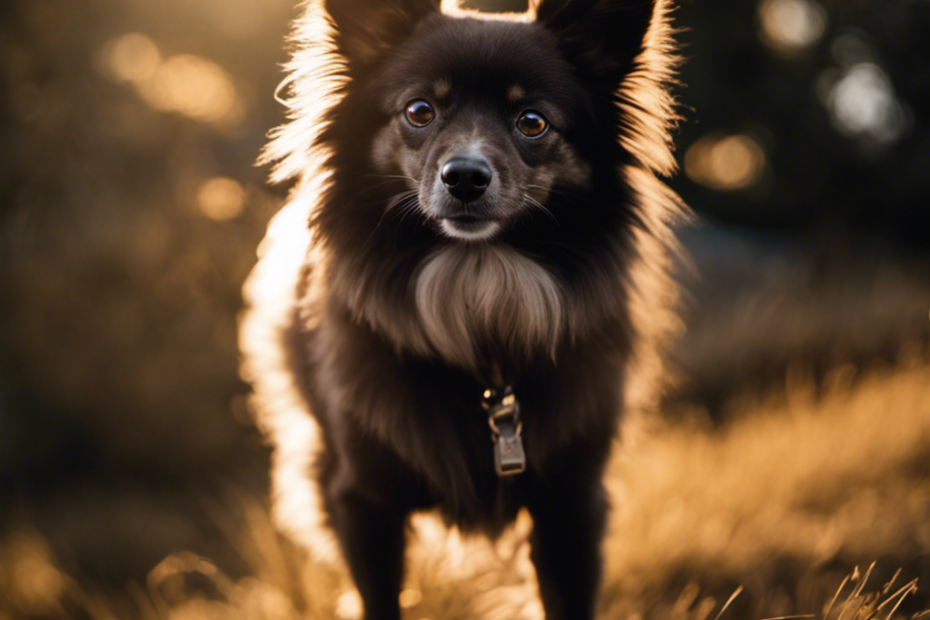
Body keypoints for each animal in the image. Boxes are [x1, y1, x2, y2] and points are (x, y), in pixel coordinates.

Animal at [243, 1, 684, 620]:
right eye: (419, 111)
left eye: (532, 121)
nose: (465, 178)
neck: (478, 298)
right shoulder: (364, 502)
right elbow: (378, 598)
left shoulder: (571, 504)